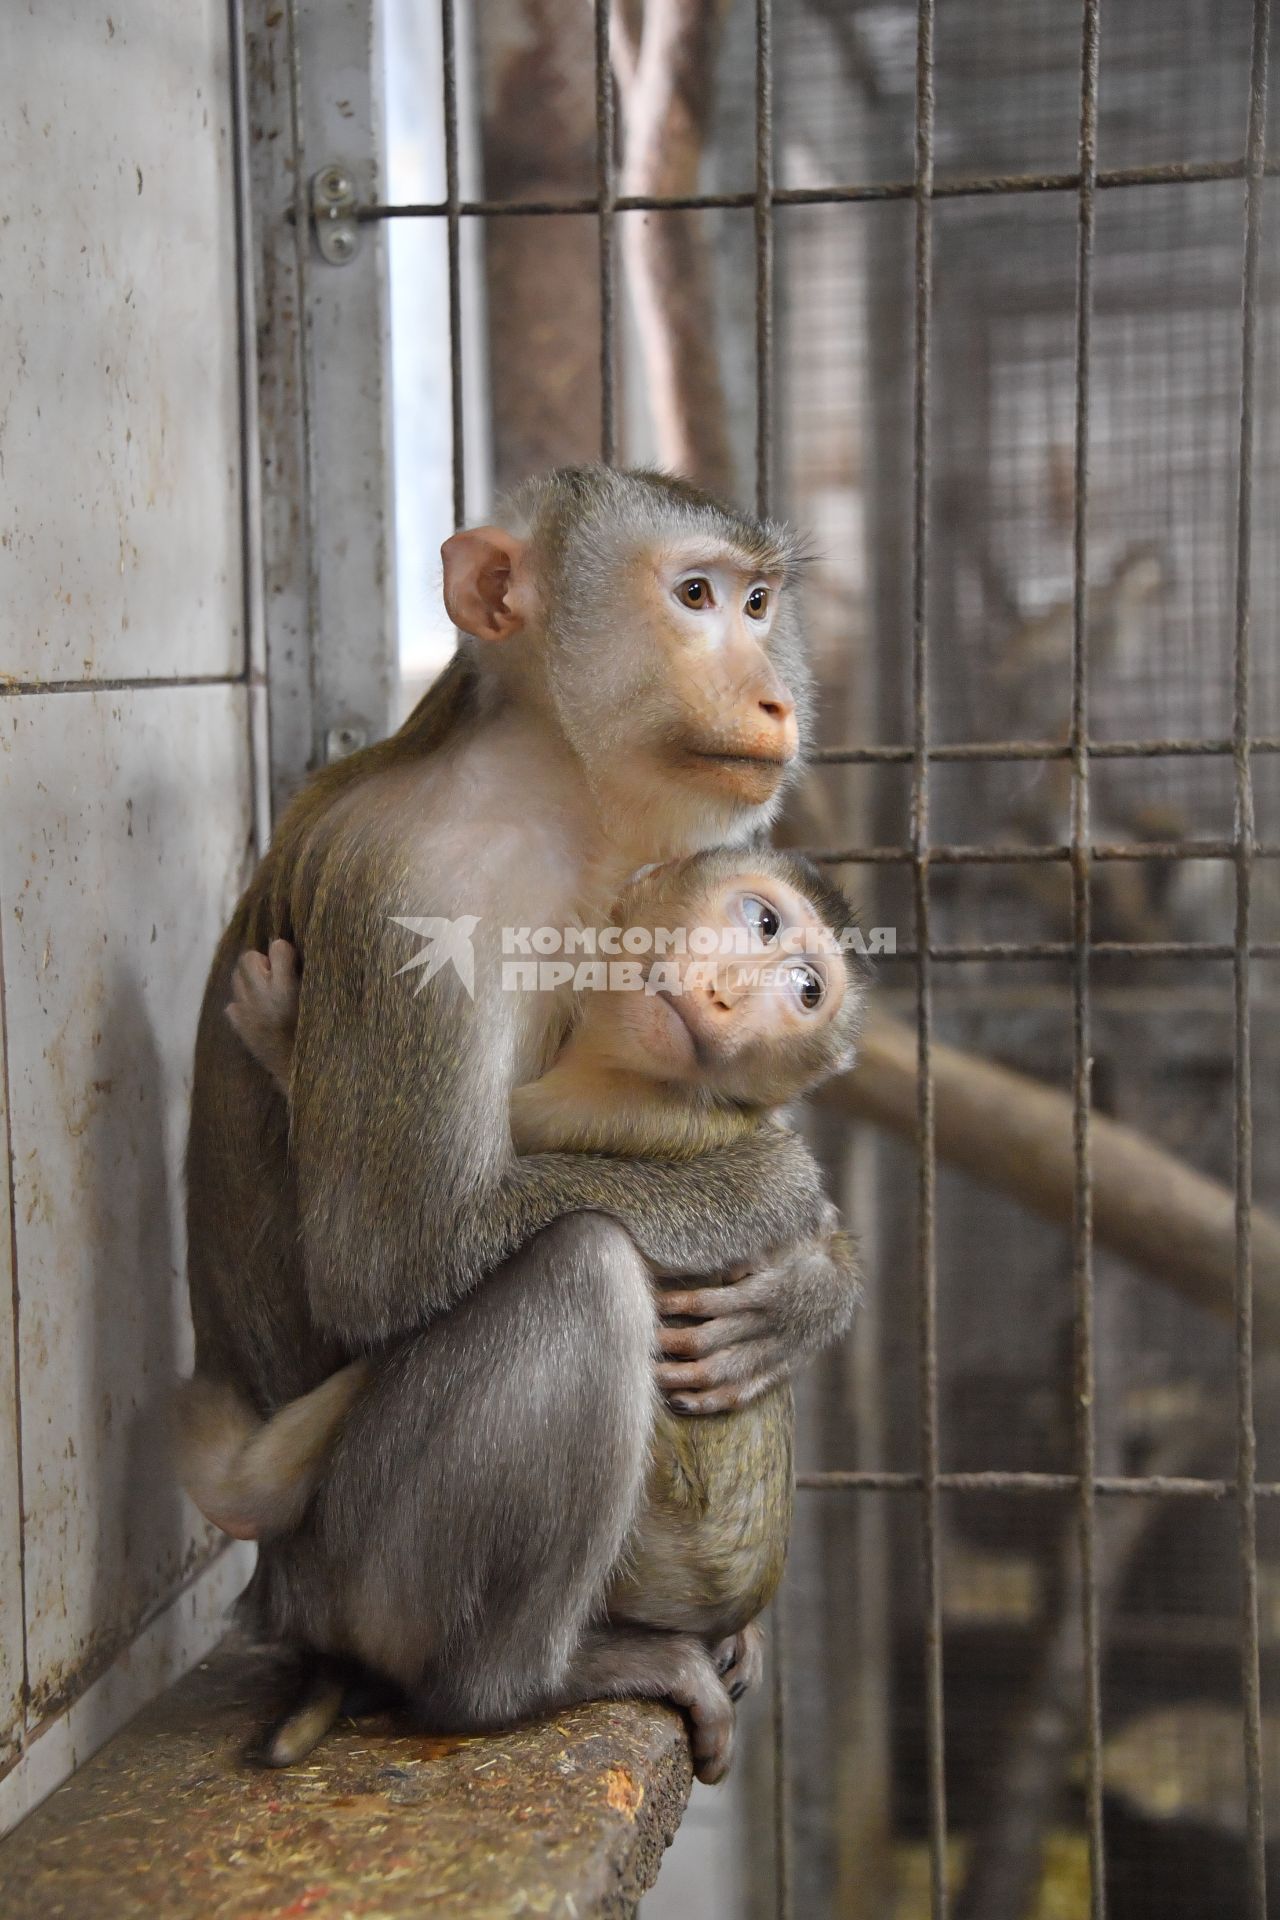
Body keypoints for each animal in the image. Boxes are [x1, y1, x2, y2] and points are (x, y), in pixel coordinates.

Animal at [180, 464, 867, 1781]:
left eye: (759, 602)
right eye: (693, 595)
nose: (771, 692)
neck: (551, 786)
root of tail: (282, 1597)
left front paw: (807, 1291)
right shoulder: (419, 893)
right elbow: (391, 1252)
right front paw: (775, 1200)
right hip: (365, 1571)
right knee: (584, 1270)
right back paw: (515, 1688)